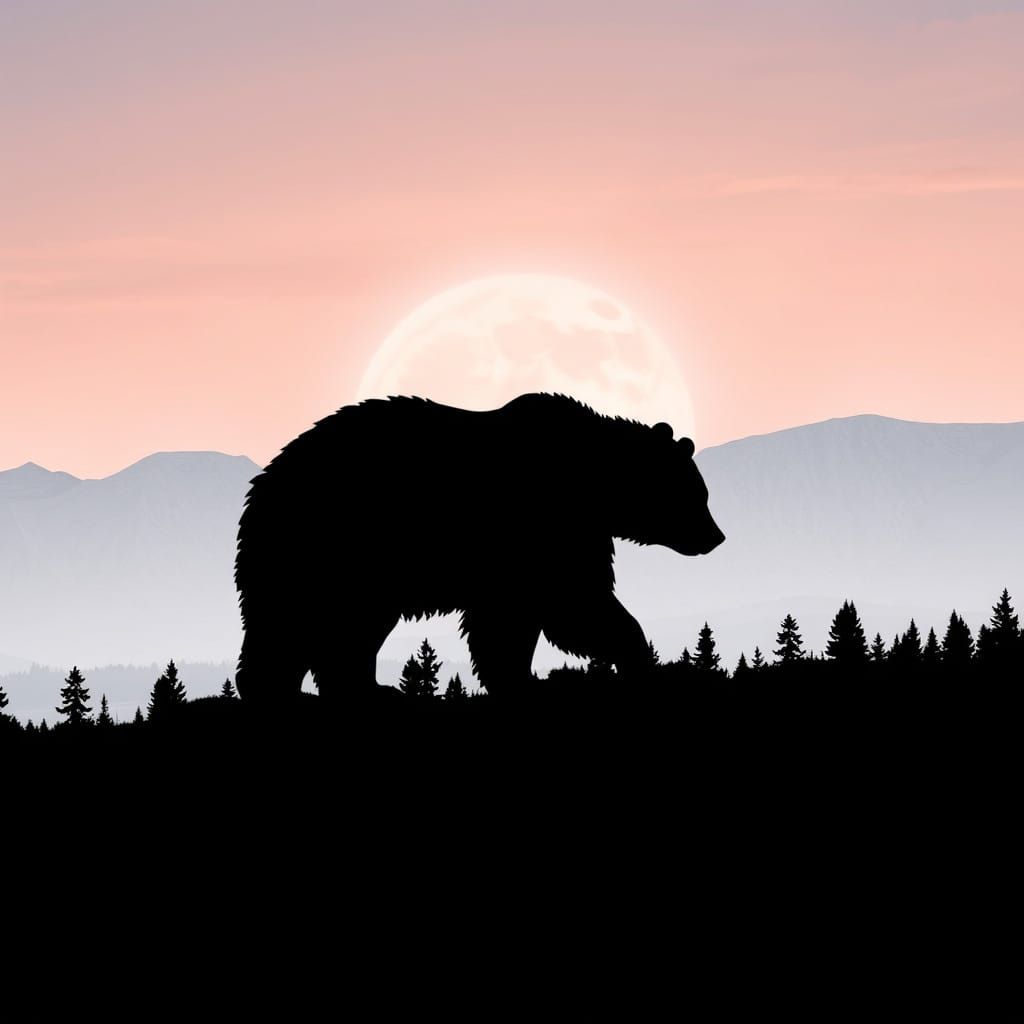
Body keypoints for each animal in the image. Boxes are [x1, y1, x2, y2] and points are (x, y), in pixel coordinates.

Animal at [234, 392, 724, 702]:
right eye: (696, 495)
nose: (716, 537)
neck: (593, 482)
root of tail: (266, 480)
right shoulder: (547, 530)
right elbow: (573, 604)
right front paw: (637, 659)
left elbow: (519, 617)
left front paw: (522, 678)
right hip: (332, 544)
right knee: (307, 623)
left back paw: (358, 688)